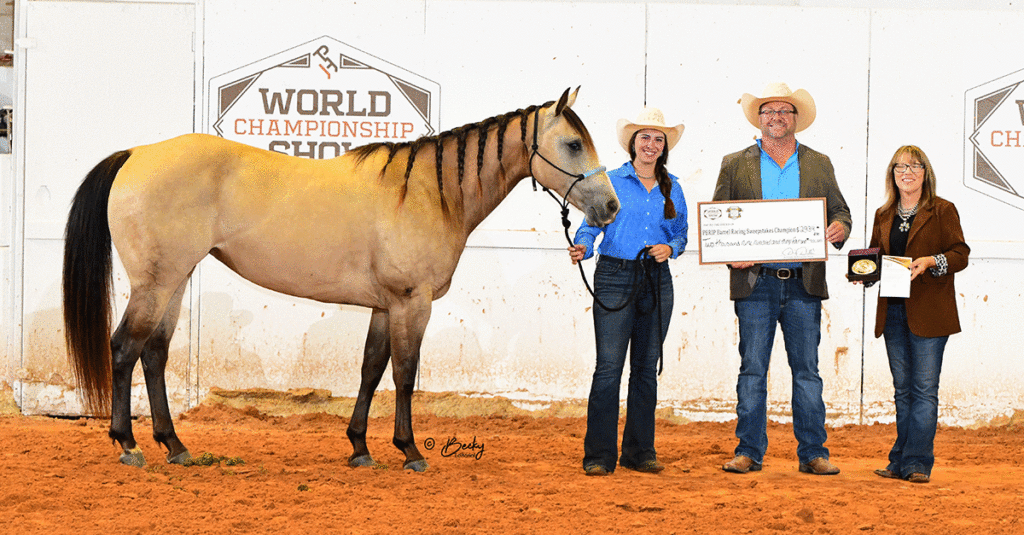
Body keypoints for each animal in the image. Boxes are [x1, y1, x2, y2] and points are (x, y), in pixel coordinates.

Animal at [66, 87, 622, 471]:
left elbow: (371, 369)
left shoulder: (384, 305)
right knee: (124, 348)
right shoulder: (412, 302)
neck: (427, 192)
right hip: (156, 283)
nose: (611, 207)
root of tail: (138, 153)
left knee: (154, 354)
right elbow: (404, 374)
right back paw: (129, 444)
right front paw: (410, 451)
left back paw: (175, 445)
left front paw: (359, 448)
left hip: (176, 279)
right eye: (574, 143)